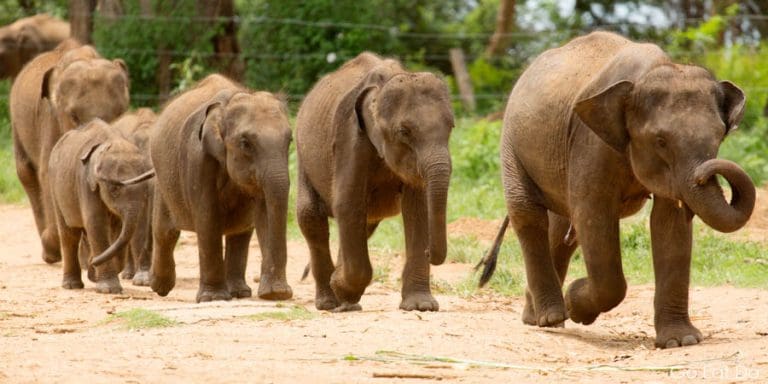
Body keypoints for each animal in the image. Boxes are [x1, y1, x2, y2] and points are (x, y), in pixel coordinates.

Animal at [11, 40, 131, 266]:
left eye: (121, 113)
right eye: (74, 116)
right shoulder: (50, 119)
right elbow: (48, 174)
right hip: (17, 127)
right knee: (27, 174)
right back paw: (50, 253)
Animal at [48, 118, 155, 292]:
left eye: (145, 188)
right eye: (113, 189)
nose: (92, 264)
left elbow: (137, 225)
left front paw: (142, 282)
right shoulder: (85, 183)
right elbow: (96, 222)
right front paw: (109, 289)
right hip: (56, 187)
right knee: (69, 234)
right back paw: (72, 286)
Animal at [150, 74, 294, 304]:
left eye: (289, 140)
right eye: (245, 143)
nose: (283, 292)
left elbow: (265, 212)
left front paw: (275, 294)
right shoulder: (198, 158)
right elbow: (207, 216)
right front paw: (213, 298)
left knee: (240, 233)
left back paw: (239, 293)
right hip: (162, 182)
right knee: (165, 231)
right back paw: (160, 287)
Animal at [292, 53, 450, 312]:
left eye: (451, 127)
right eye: (404, 132)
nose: (430, 252)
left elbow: (417, 209)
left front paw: (421, 307)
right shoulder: (349, 136)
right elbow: (348, 203)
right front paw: (341, 287)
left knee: (364, 224)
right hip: (303, 157)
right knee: (311, 217)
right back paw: (329, 302)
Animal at [486, 31, 756, 350]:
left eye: (719, 137)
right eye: (661, 141)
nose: (706, 172)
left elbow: (669, 223)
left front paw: (681, 341)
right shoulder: (591, 142)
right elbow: (594, 214)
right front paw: (577, 303)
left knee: (561, 228)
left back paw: (538, 316)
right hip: (512, 143)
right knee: (529, 214)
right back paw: (552, 317)